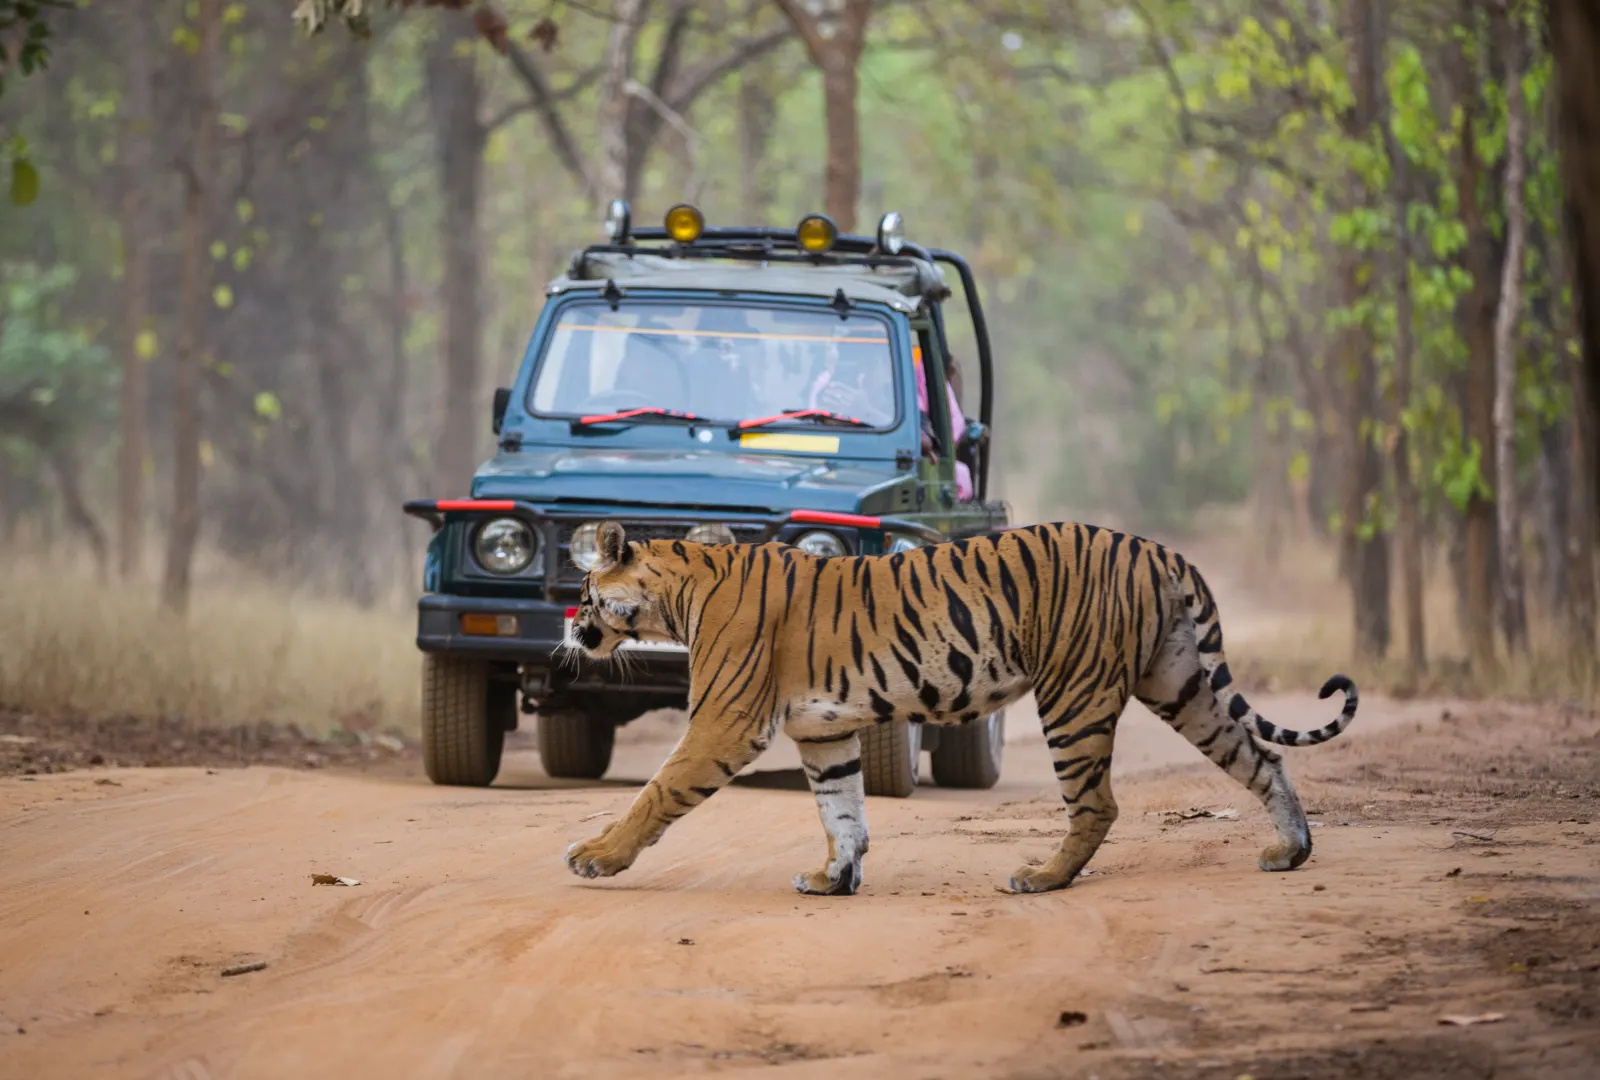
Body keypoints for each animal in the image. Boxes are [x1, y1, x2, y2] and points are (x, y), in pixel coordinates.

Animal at [562, 520, 1358, 896]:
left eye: (585, 593)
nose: (571, 629)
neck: (678, 594)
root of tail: (1156, 549)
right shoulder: (824, 734)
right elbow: (842, 812)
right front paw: (833, 880)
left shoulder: (724, 723)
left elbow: (657, 792)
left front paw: (595, 856)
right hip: (1181, 684)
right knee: (1260, 755)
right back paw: (1291, 851)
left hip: (1073, 695)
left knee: (1097, 804)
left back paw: (1041, 878)